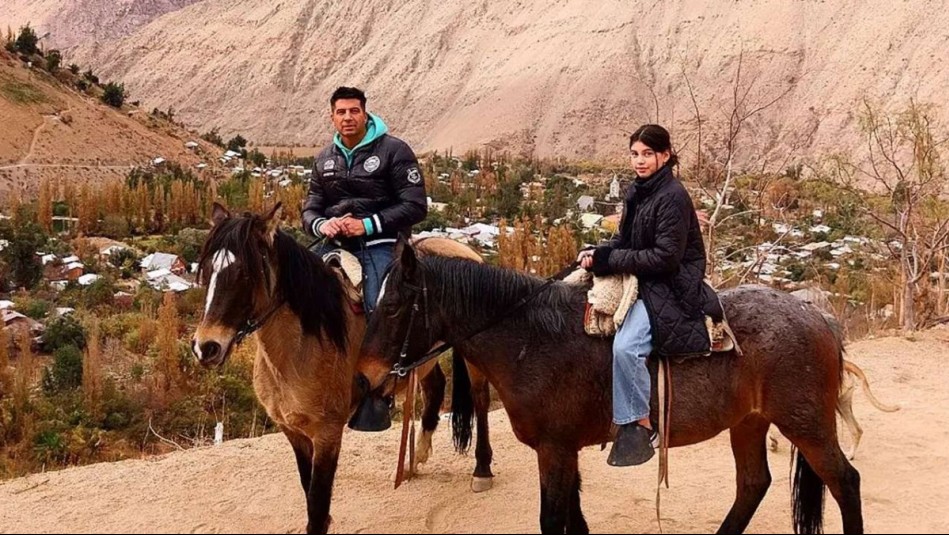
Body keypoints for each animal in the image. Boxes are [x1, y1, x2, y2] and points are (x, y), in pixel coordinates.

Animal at [189, 203, 492, 532]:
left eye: (245, 273)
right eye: (207, 270)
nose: (206, 347)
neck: (303, 347)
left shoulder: (328, 433)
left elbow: (318, 502)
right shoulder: (293, 432)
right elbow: (308, 489)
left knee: (480, 399)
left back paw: (482, 471)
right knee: (435, 387)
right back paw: (416, 460)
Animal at [354, 244, 860, 535]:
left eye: (394, 306)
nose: (365, 376)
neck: (532, 338)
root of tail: (817, 316)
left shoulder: (555, 449)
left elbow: (552, 519)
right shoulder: (565, 450)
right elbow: (574, 521)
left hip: (806, 424)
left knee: (844, 482)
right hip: (750, 423)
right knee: (753, 484)